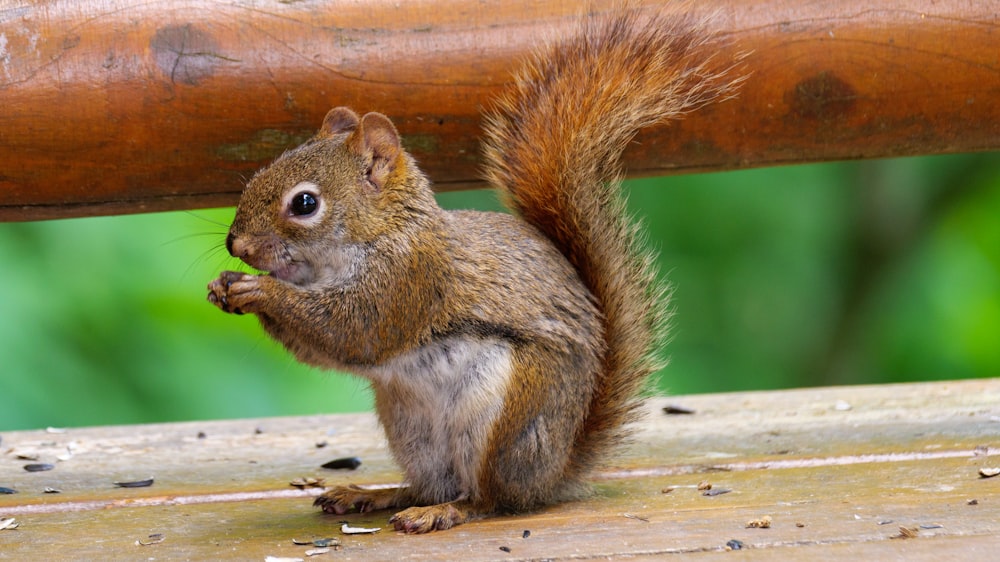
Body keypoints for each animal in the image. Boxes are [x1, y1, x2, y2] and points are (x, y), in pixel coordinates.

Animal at [209, 5, 744, 532]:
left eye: (304, 203)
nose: (236, 244)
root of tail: (553, 473)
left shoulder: (409, 280)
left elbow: (353, 332)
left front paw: (259, 291)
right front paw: (223, 286)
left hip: (506, 416)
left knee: (489, 498)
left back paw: (445, 510)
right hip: (412, 429)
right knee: (430, 483)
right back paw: (375, 495)